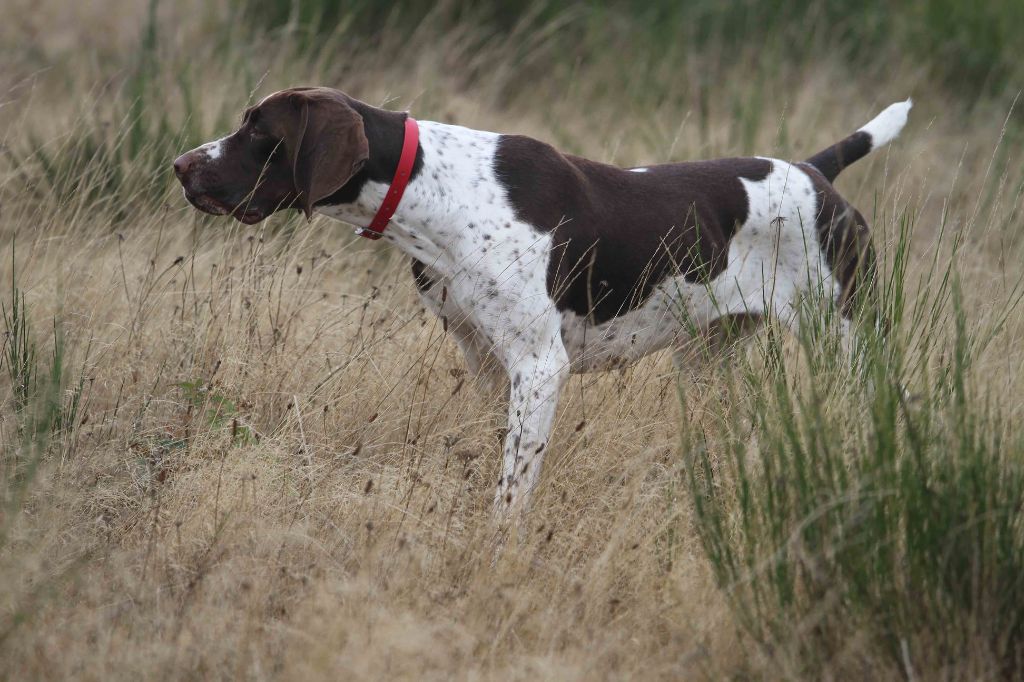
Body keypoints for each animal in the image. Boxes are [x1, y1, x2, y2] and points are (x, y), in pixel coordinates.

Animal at [176, 87, 913, 518]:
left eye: (257, 131)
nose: (181, 166)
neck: (435, 191)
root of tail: (815, 172)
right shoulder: (485, 362)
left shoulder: (538, 367)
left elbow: (512, 489)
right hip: (709, 362)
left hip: (847, 340)